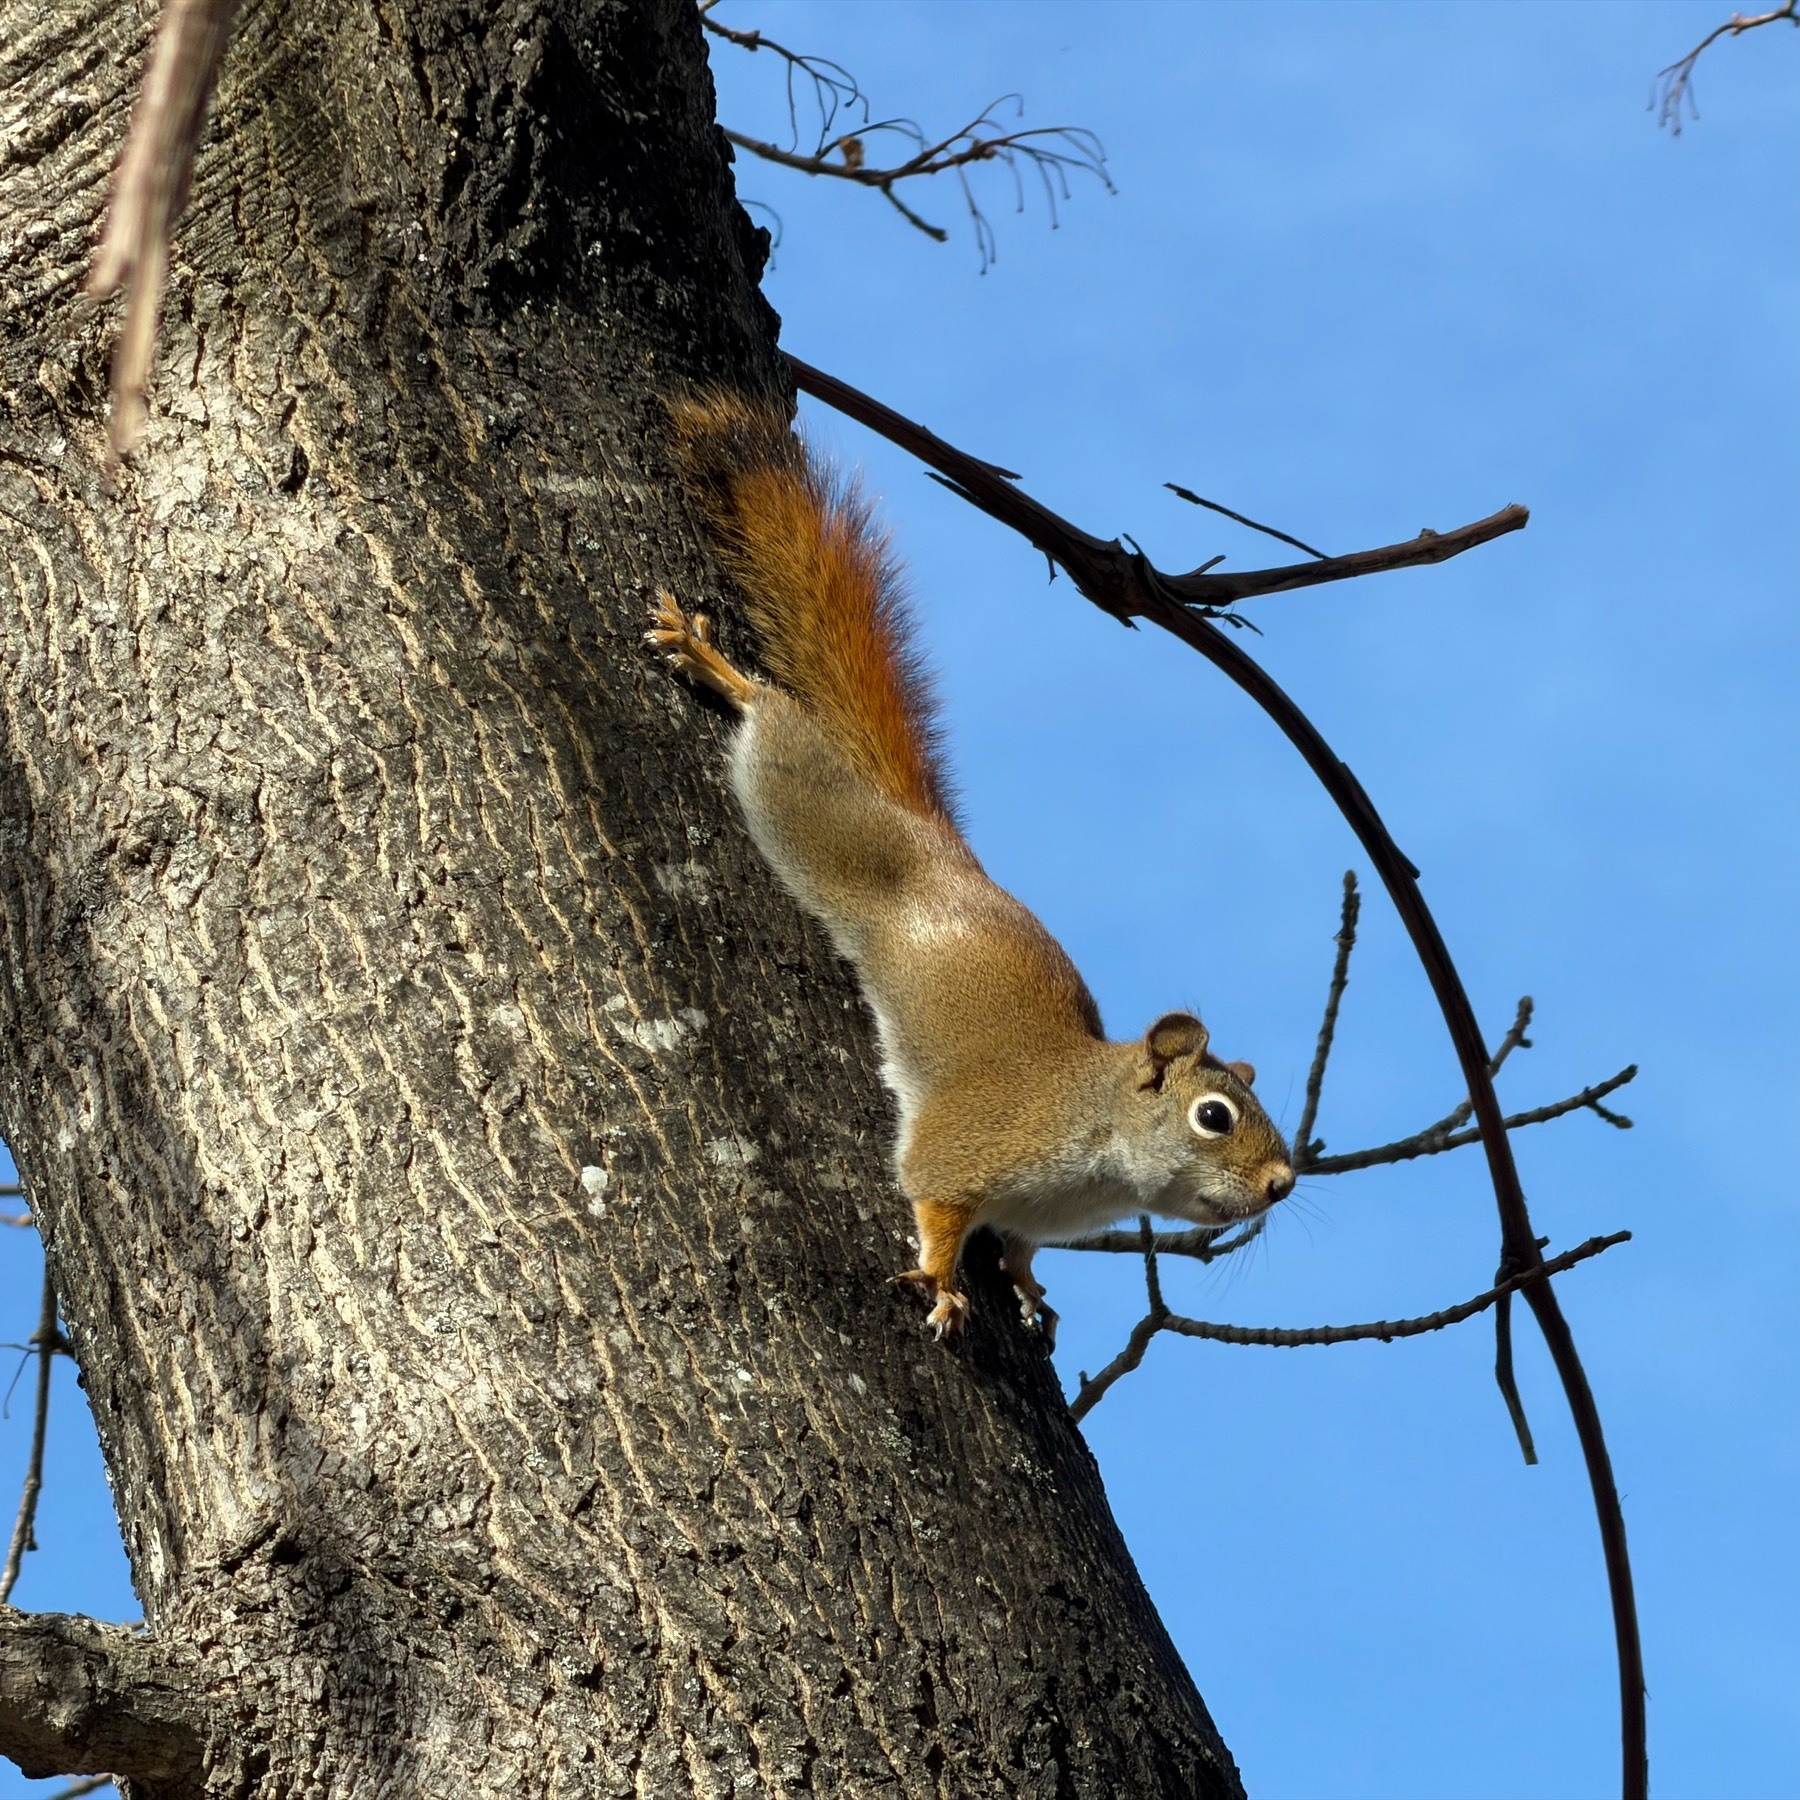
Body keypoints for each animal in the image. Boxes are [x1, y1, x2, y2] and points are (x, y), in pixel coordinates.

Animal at [649, 392, 1294, 1340]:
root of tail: (937, 850)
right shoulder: (971, 1143)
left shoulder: (1034, 1215)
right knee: (778, 730)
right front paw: (941, 1276)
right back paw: (718, 667)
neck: (1096, 1137)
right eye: (1214, 1117)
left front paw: (1029, 1289)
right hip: (813, 817)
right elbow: (935, 1200)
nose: (1284, 1185)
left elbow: (1020, 1248)